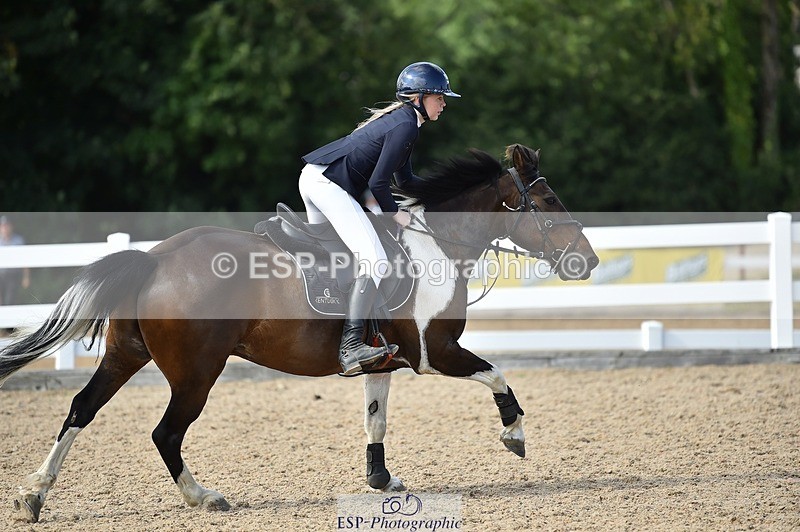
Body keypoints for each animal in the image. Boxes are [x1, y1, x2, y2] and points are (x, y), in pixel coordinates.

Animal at [0, 143, 598, 523]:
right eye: (549, 202)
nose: (588, 261)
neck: (438, 243)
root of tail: (155, 257)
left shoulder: (384, 361)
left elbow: (375, 421)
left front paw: (382, 482)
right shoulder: (437, 353)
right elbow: (496, 374)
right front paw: (514, 434)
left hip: (127, 354)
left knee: (81, 409)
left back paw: (34, 495)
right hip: (196, 372)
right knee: (166, 433)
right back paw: (204, 497)